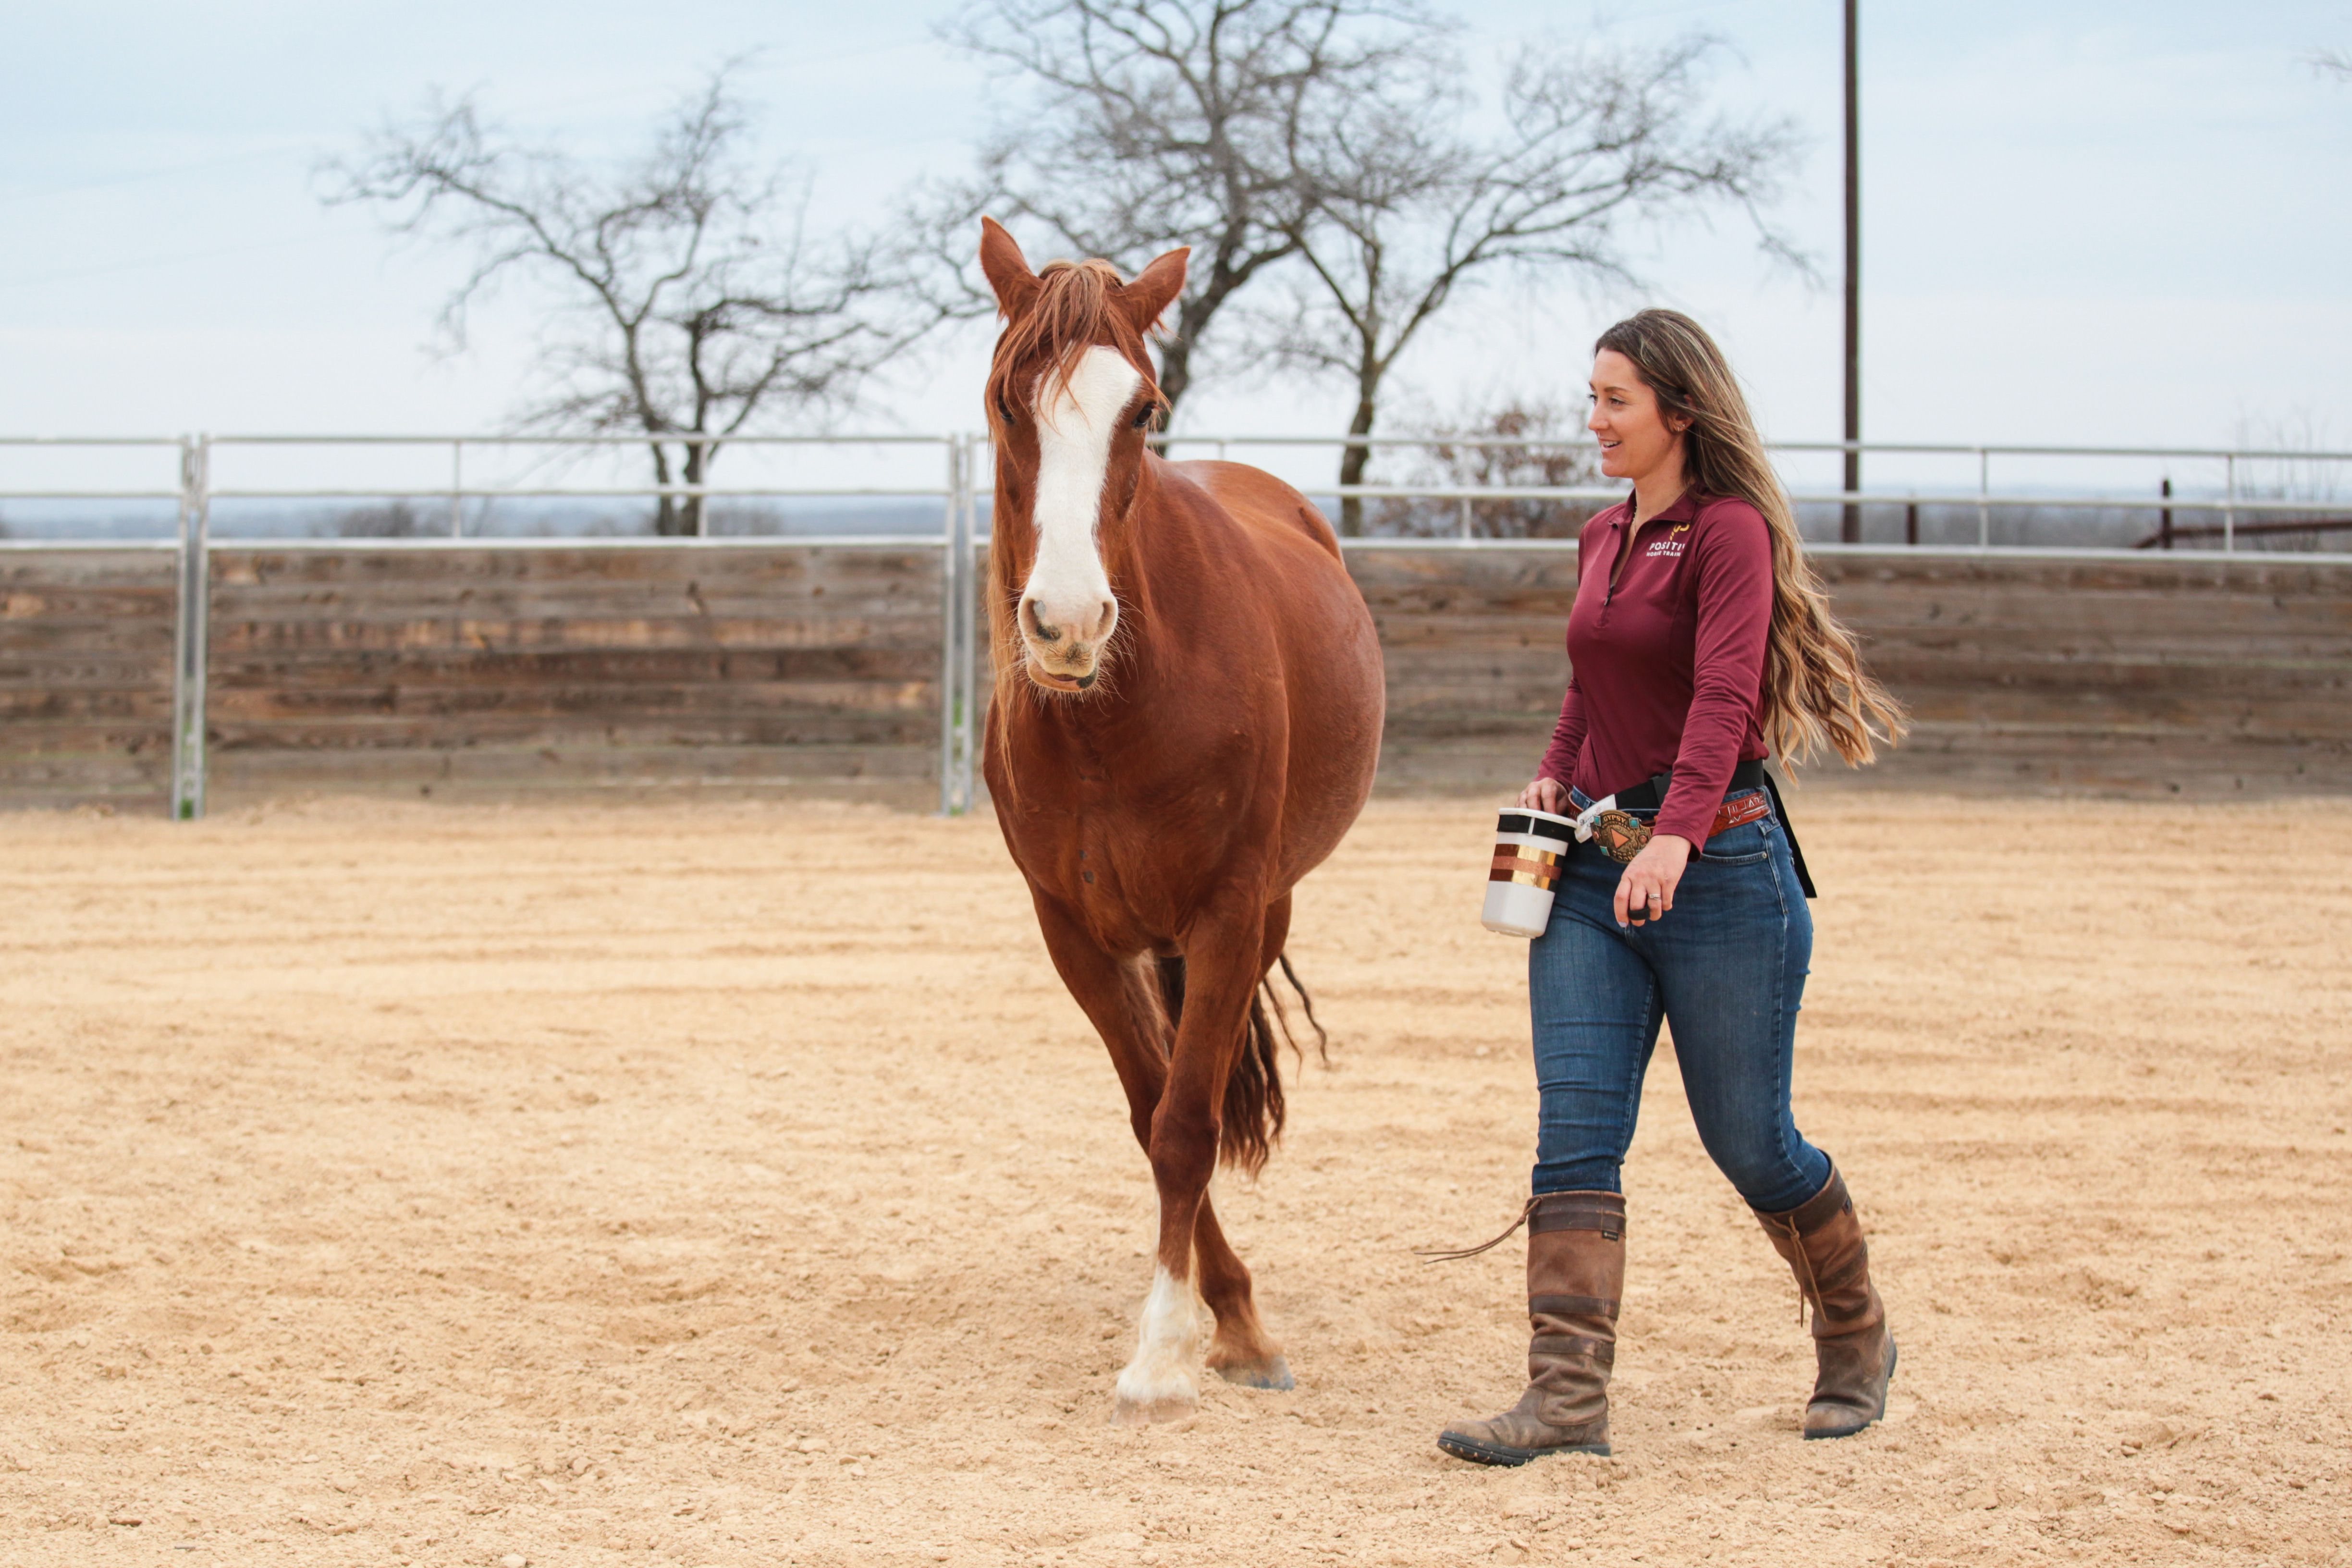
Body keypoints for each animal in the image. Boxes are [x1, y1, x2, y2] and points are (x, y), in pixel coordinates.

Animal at [974, 218, 1385, 1425]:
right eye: (1007, 400)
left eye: (1142, 409)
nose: (1067, 622)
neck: (1115, 715)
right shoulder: (1072, 935)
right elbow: (1148, 1106)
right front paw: (1215, 1311)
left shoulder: (1226, 915)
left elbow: (1187, 1123)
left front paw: (1179, 1347)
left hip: (1268, 912)